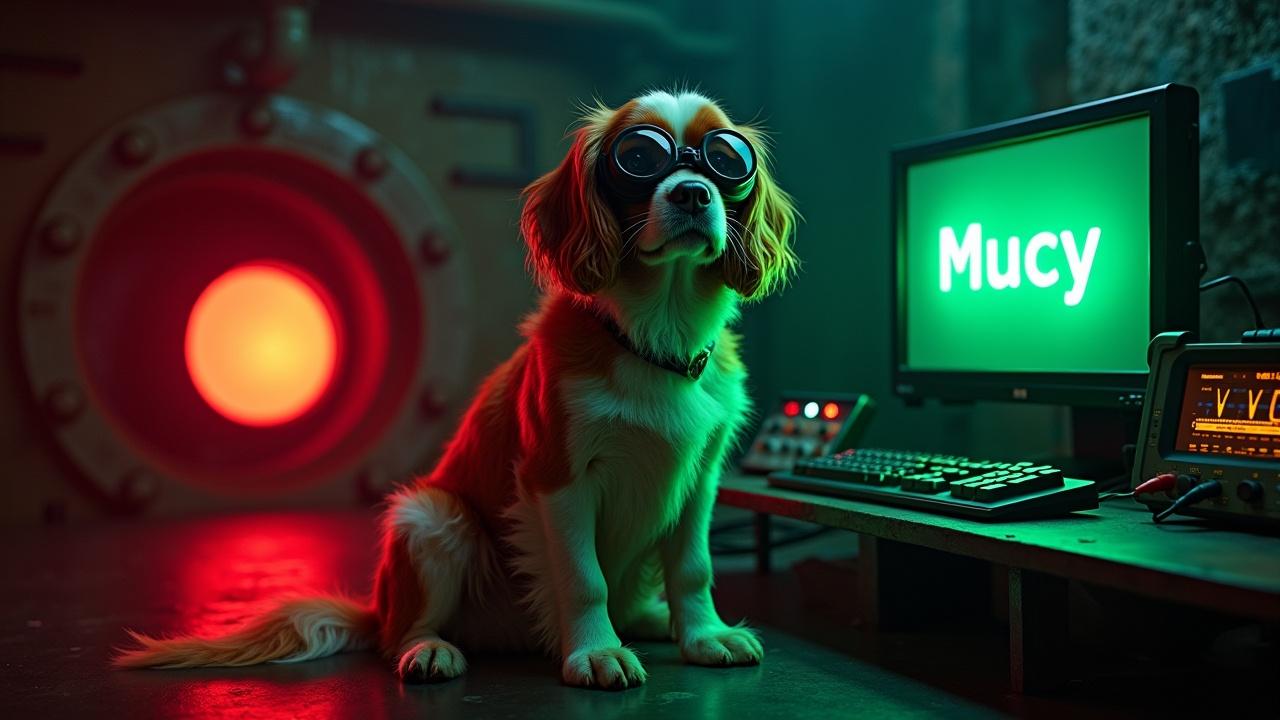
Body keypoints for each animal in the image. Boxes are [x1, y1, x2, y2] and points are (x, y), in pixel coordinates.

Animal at [120, 87, 798, 686]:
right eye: (638, 156)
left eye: (726, 160)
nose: (693, 193)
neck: (655, 335)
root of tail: (377, 609)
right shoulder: (557, 476)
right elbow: (584, 578)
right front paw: (595, 653)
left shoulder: (699, 479)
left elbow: (693, 568)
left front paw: (703, 637)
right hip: (433, 518)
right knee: (405, 632)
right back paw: (431, 651)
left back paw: (652, 621)